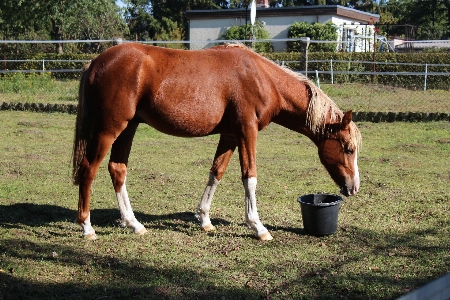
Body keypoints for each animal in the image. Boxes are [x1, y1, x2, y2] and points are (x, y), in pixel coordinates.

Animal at [74, 42, 362, 241]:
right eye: (348, 148)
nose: (353, 187)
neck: (262, 78)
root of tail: (95, 63)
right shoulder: (247, 131)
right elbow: (249, 177)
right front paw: (258, 227)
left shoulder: (230, 135)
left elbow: (216, 173)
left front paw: (204, 220)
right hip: (109, 130)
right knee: (89, 170)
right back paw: (87, 227)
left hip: (128, 128)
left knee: (117, 169)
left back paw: (134, 224)